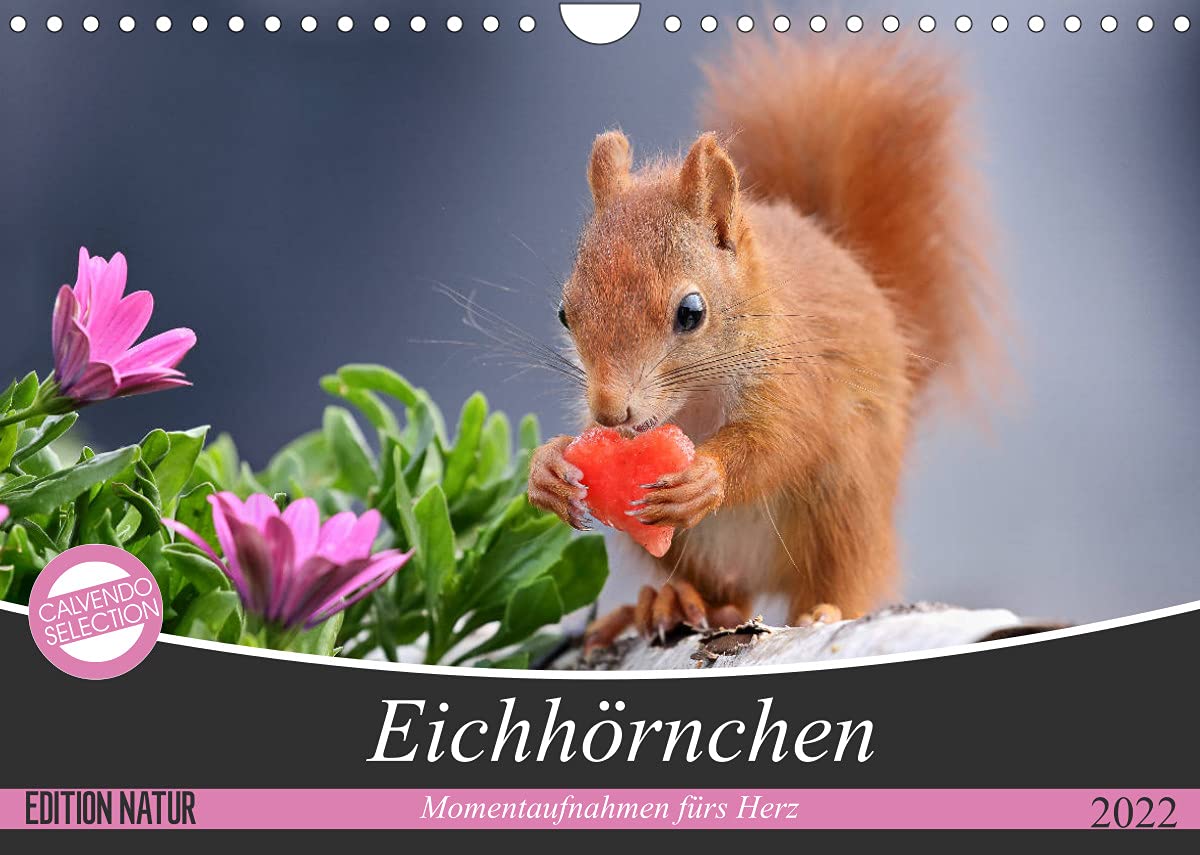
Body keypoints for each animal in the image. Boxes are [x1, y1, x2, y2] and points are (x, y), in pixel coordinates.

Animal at [527, 39, 1001, 652]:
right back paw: (671, 601)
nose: (611, 413)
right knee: (727, 596)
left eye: (691, 312)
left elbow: (782, 439)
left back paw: (822, 610)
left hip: (846, 501)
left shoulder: (797, 376)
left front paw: (708, 474)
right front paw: (549, 466)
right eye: (565, 312)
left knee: (841, 575)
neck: (696, 401)